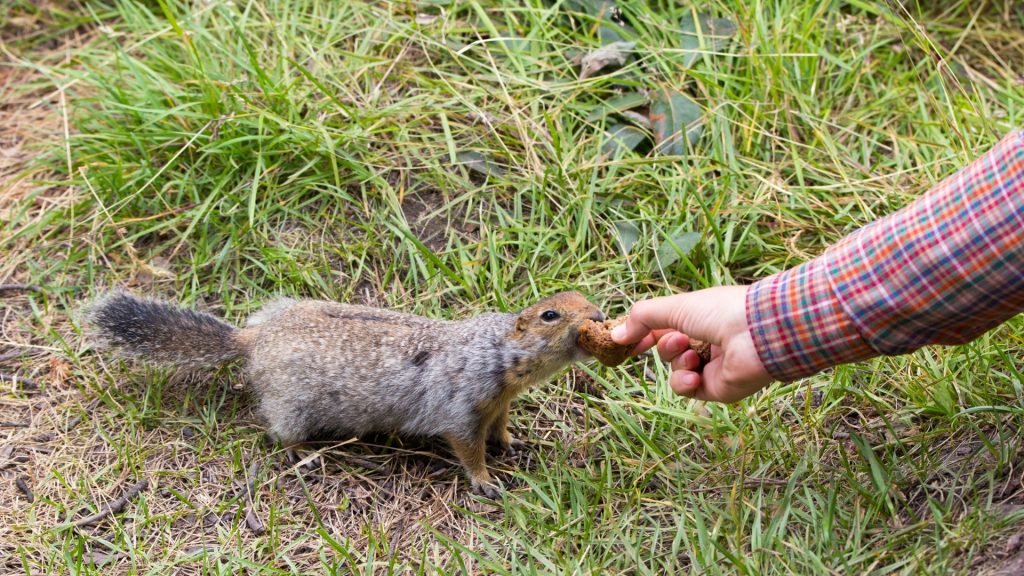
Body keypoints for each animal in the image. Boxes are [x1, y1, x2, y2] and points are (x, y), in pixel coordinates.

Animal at [83, 289, 606, 496]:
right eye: (551, 315)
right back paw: (309, 454)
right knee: (279, 436)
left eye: (583, 300)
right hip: (292, 408)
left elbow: (499, 430)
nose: (600, 316)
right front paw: (484, 481)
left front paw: (514, 444)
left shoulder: (497, 404)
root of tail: (252, 339)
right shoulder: (462, 407)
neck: (498, 353)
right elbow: (468, 447)